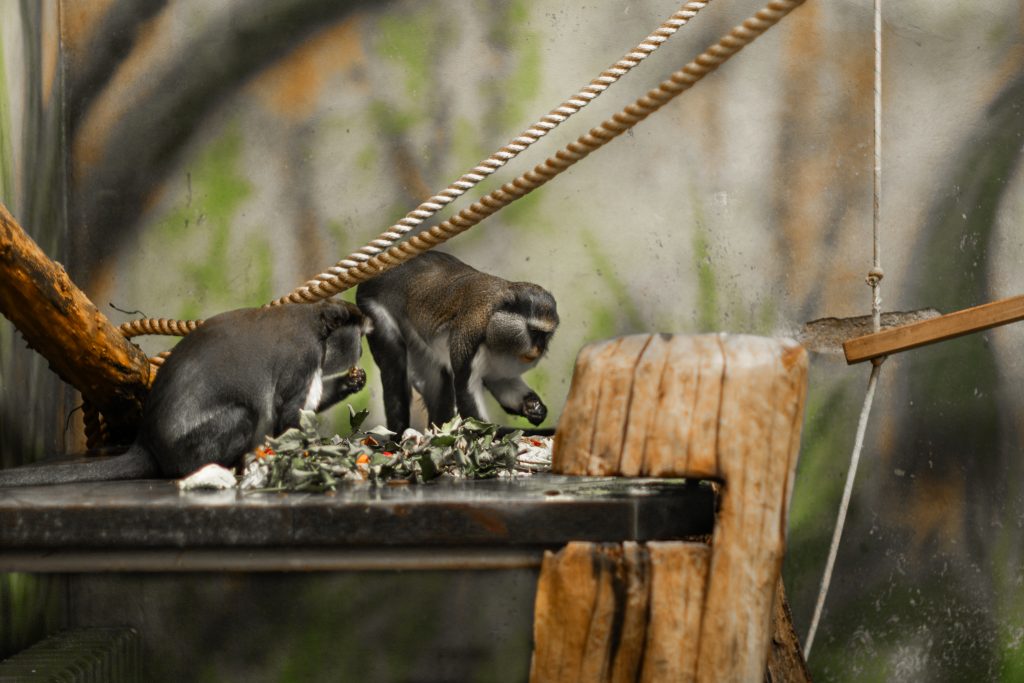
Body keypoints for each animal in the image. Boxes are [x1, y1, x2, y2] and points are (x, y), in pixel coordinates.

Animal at [0, 301, 372, 485]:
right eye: (360, 338)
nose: (361, 353)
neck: (314, 323)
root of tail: (147, 443)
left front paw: (352, 382)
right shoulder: (303, 356)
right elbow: (288, 414)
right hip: (192, 445)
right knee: (244, 416)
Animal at [354, 249, 561, 432]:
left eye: (545, 335)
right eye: (534, 332)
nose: (539, 349)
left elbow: (501, 381)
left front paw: (534, 407)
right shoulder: (469, 337)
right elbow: (466, 394)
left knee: (439, 378)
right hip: (372, 306)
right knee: (395, 367)